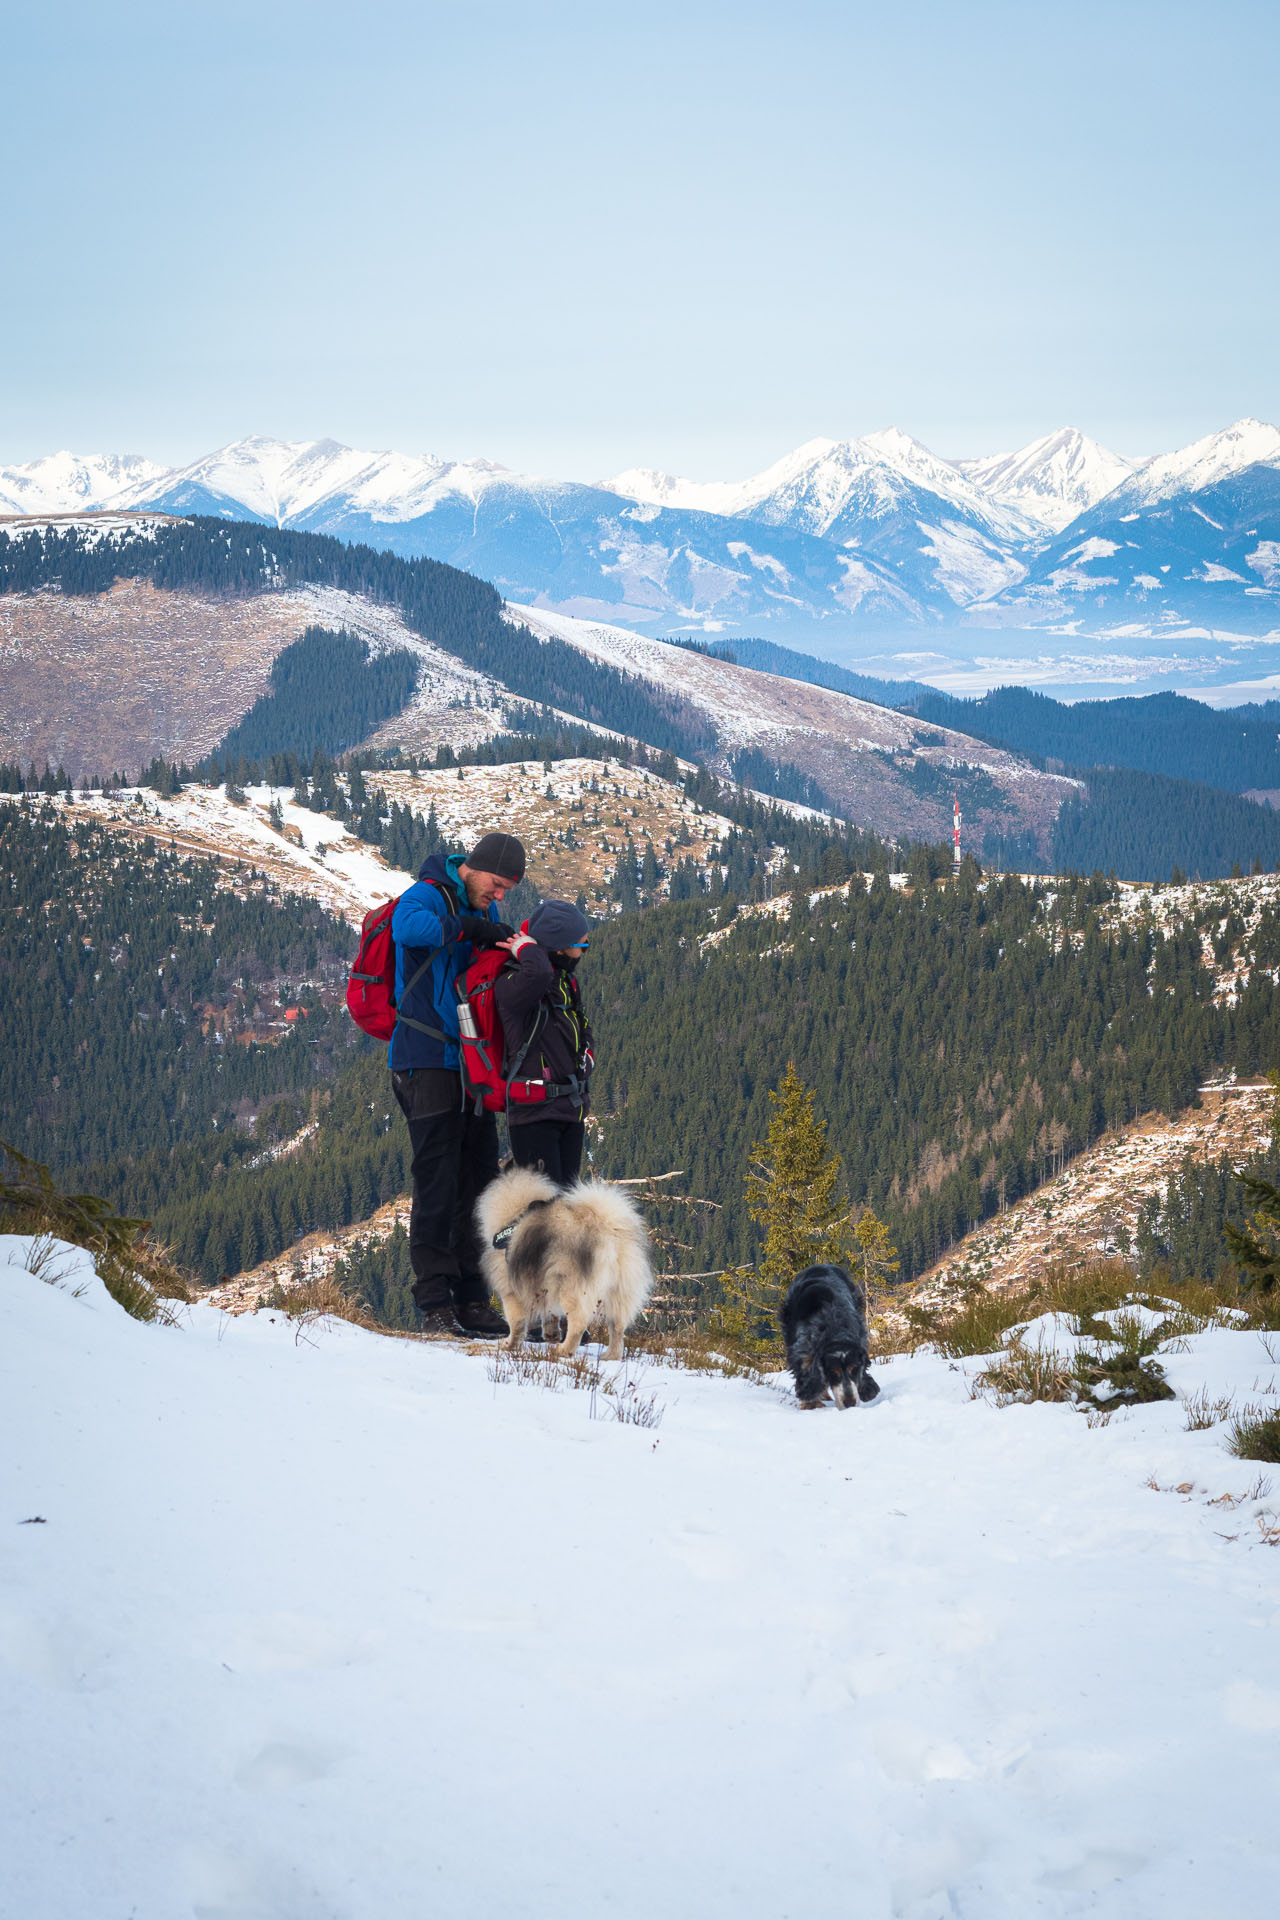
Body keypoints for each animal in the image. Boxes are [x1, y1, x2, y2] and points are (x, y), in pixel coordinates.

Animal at [477, 1159, 656, 1359]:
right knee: (617, 1327)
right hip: (619, 1292)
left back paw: (564, 1350)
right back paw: (610, 1356)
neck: (518, 1212)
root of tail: (609, 1232)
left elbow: (516, 1323)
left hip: (573, 1291)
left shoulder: (511, 1292)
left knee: (579, 1324)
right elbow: (550, 1315)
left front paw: (509, 1344)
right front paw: (551, 1334)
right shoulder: (544, 1285)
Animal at [782, 1267, 882, 1405]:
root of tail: (819, 1266)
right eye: (833, 1373)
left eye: (854, 1369)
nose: (850, 1403)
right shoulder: (801, 1349)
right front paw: (811, 1402)